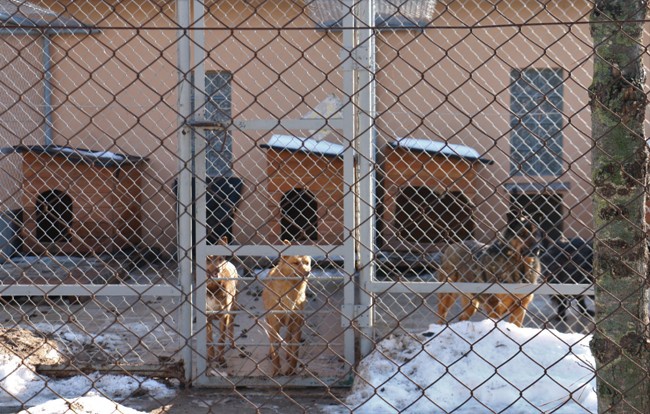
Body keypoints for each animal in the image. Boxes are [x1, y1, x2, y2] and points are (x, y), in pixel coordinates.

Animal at [205, 238, 238, 368]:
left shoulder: (224, 315)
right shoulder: (206, 315)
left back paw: (233, 343)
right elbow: (209, 339)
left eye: (219, 259)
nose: (218, 269)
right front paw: (210, 356)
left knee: (231, 325)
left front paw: (221, 358)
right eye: (207, 259)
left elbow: (221, 339)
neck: (213, 288)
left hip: (233, 307)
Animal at [260, 241, 312, 376]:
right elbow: (275, 352)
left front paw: (291, 369)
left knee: (289, 338)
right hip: (269, 321)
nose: (307, 272)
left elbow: (295, 352)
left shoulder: (297, 324)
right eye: (295, 263)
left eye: (307, 263)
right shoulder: (274, 324)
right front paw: (276, 370)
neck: (291, 291)